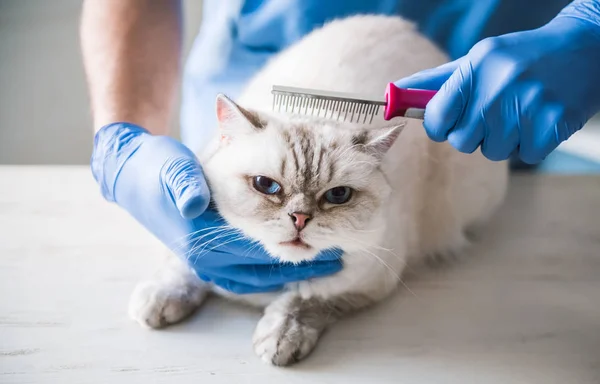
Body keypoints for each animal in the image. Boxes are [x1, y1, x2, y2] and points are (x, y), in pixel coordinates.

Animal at [129, 13, 508, 364]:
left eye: (338, 195)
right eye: (266, 185)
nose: (299, 218)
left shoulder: (369, 281)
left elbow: (305, 300)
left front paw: (281, 338)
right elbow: (184, 266)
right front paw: (159, 300)